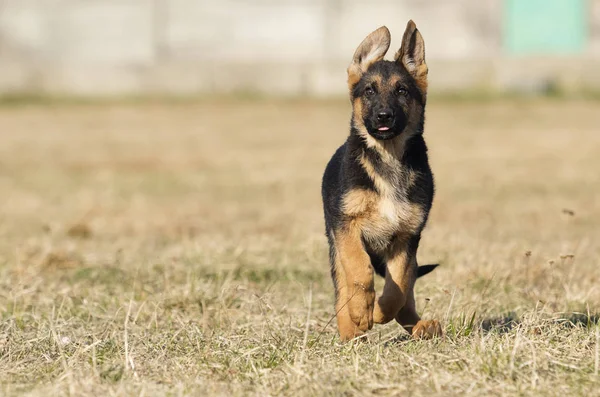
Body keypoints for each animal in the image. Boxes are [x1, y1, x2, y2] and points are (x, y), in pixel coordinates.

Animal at [324, 20, 440, 340]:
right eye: (369, 91)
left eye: (402, 91)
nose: (383, 116)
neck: (387, 158)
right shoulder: (346, 225)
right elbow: (359, 271)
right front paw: (361, 312)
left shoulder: (407, 235)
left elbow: (397, 286)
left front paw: (378, 311)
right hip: (334, 246)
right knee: (342, 287)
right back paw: (351, 329)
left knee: (407, 292)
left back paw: (423, 326)